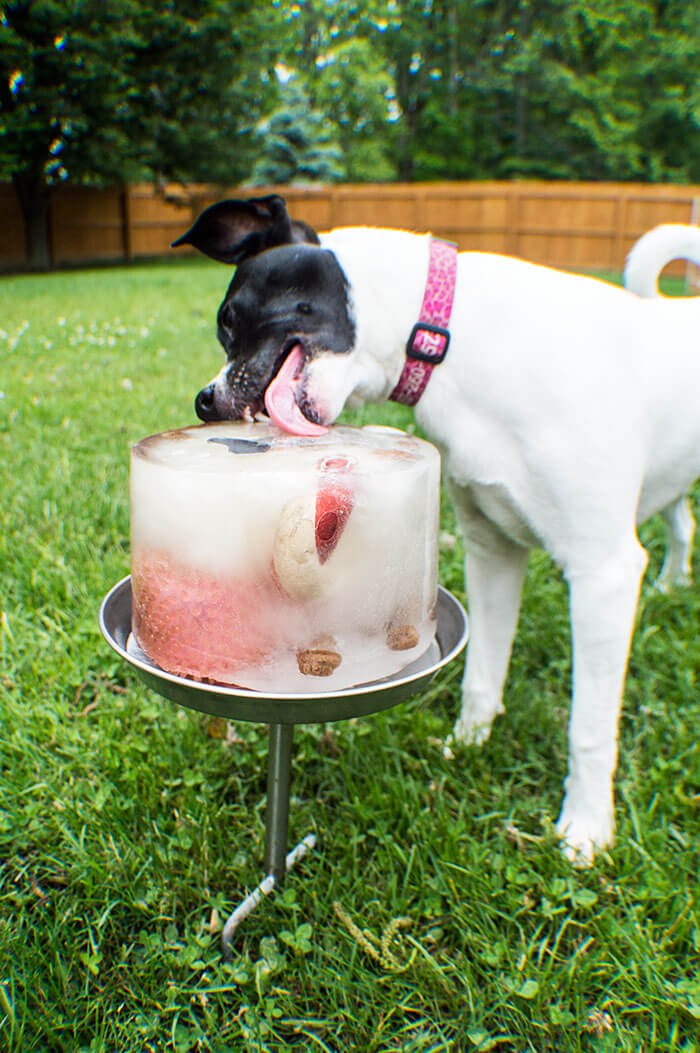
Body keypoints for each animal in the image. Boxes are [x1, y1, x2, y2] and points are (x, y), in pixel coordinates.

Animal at [170, 197, 698, 863]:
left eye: (231, 318)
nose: (204, 401)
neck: (452, 339)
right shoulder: (493, 552)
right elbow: (483, 675)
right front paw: (469, 743)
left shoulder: (602, 572)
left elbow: (589, 729)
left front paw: (585, 829)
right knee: (682, 521)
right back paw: (672, 585)